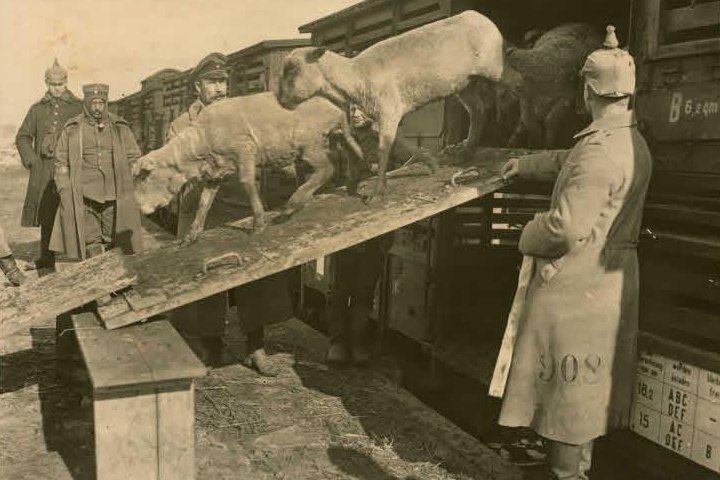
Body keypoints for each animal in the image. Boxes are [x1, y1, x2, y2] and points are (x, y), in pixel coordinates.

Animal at [132, 92, 348, 242]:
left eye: (145, 176)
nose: (140, 208)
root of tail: (335, 109)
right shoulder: (215, 172)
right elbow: (204, 201)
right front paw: (192, 234)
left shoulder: (244, 149)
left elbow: (247, 183)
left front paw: (259, 224)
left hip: (310, 143)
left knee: (328, 168)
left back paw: (292, 205)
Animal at [276, 10, 505, 204]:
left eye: (292, 69)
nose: (280, 100)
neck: (355, 75)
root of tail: (479, 16)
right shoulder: (387, 114)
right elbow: (400, 142)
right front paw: (430, 162)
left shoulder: (388, 110)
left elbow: (384, 149)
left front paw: (378, 192)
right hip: (464, 84)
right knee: (478, 111)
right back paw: (466, 152)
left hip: (493, 70)